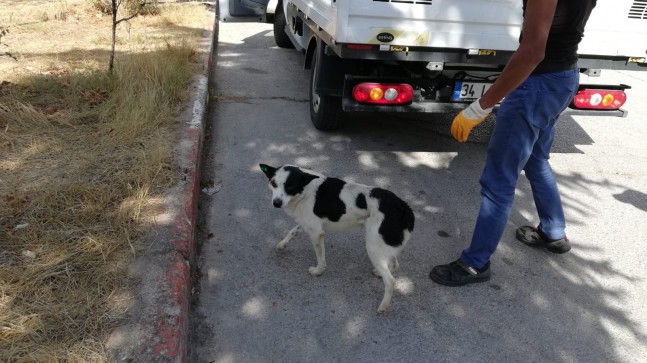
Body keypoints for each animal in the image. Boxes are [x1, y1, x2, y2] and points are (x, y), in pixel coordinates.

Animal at [260, 164, 416, 314]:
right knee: (395, 264)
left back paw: (383, 306)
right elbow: (293, 231)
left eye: (290, 186)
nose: (276, 203)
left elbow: (320, 258)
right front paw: (282, 244)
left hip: (373, 247)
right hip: (382, 243)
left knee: (390, 281)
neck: (304, 191)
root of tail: (403, 207)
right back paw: (379, 273)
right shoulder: (308, 224)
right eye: (273, 183)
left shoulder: (316, 233)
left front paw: (318, 272)